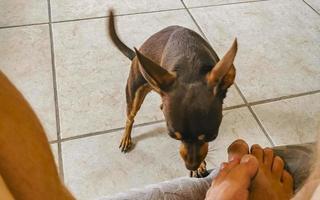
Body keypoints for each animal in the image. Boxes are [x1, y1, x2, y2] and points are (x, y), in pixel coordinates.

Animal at [109, 10, 236, 177]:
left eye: (212, 136)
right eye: (173, 136)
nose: (191, 166)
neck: (190, 68)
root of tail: (137, 56)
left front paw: (200, 166)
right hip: (135, 91)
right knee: (130, 117)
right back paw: (126, 137)